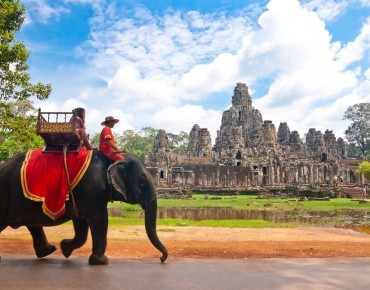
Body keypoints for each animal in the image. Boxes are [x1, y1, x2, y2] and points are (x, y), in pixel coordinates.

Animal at [0, 150, 168, 266]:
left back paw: (48, 251)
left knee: (33, 225)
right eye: (142, 181)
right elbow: (100, 219)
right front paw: (102, 262)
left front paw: (65, 249)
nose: (161, 258)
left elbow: (80, 223)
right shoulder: (92, 190)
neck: (112, 157)